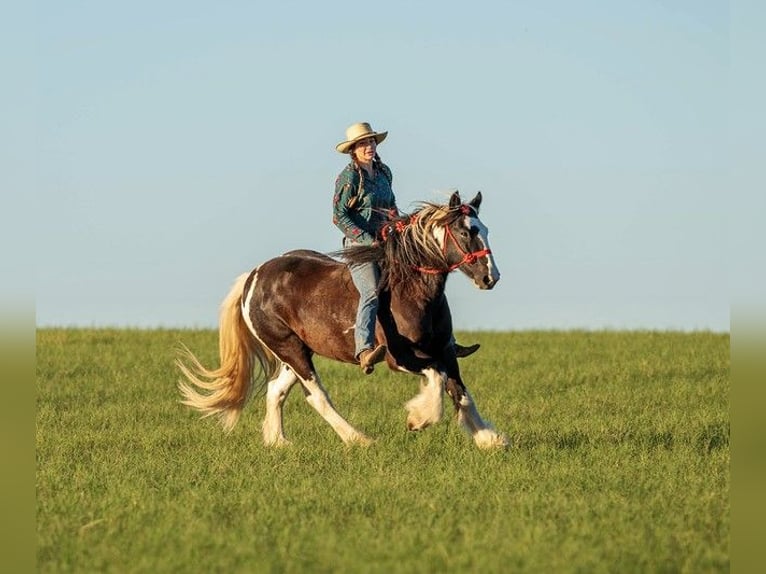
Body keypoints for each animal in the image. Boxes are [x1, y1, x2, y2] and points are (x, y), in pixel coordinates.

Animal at [176, 192, 508, 450]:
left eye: (485, 229)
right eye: (466, 232)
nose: (490, 278)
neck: (412, 290)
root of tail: (253, 278)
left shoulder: (445, 351)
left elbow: (461, 392)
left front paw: (489, 439)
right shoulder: (400, 357)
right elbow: (438, 379)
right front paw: (418, 419)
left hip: (295, 351)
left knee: (276, 390)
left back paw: (278, 442)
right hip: (289, 349)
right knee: (317, 396)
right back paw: (359, 439)